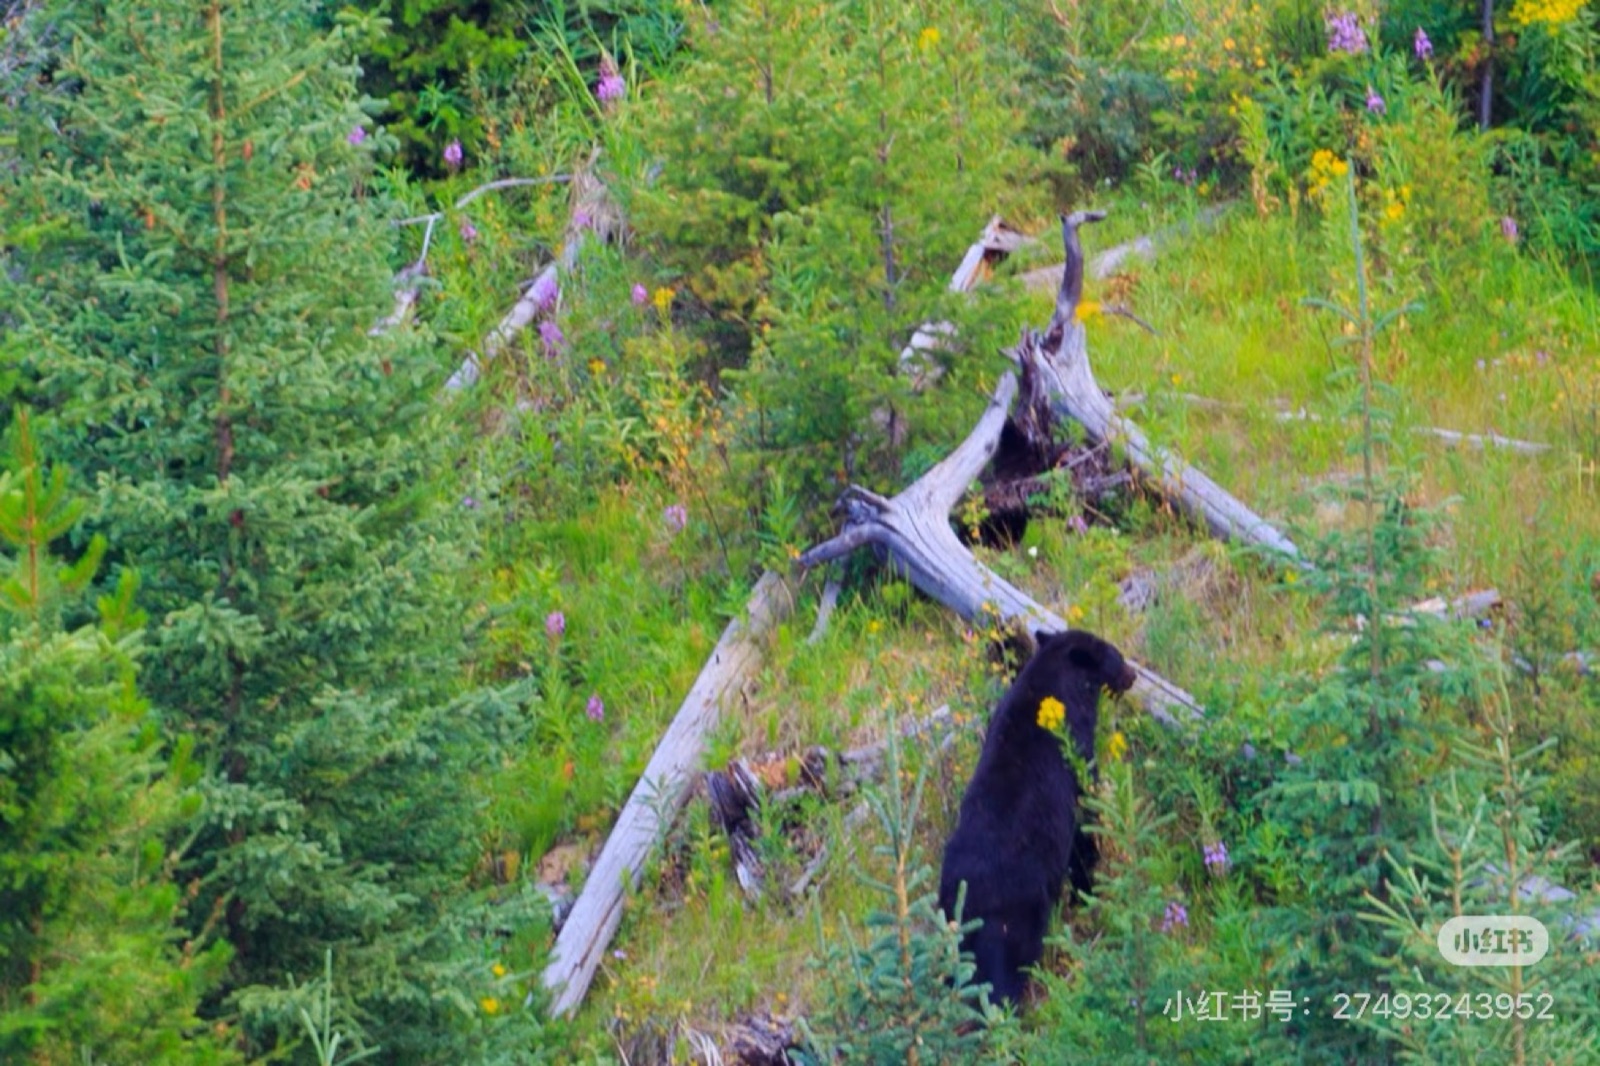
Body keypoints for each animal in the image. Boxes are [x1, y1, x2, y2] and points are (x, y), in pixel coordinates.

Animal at [938, 628, 1137, 1008]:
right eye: (1116, 655)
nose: (1133, 675)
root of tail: (965, 899)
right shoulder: (1075, 752)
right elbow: (1085, 813)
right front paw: (1087, 884)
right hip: (1014, 920)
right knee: (1003, 976)